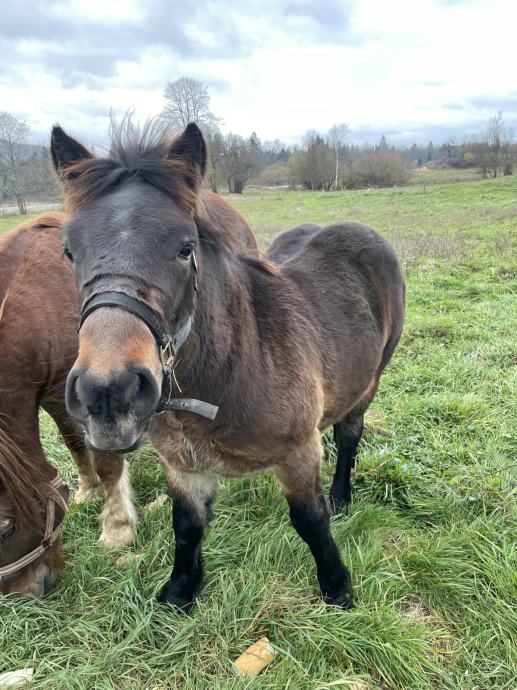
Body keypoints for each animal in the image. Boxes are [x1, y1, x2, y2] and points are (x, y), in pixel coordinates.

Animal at [50, 121, 406, 612]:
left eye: (185, 248)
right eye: (69, 251)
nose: (108, 393)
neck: (227, 375)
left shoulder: (299, 453)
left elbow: (311, 522)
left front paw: (337, 588)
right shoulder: (184, 466)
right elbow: (187, 526)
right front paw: (180, 591)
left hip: (367, 384)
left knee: (349, 437)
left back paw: (341, 497)